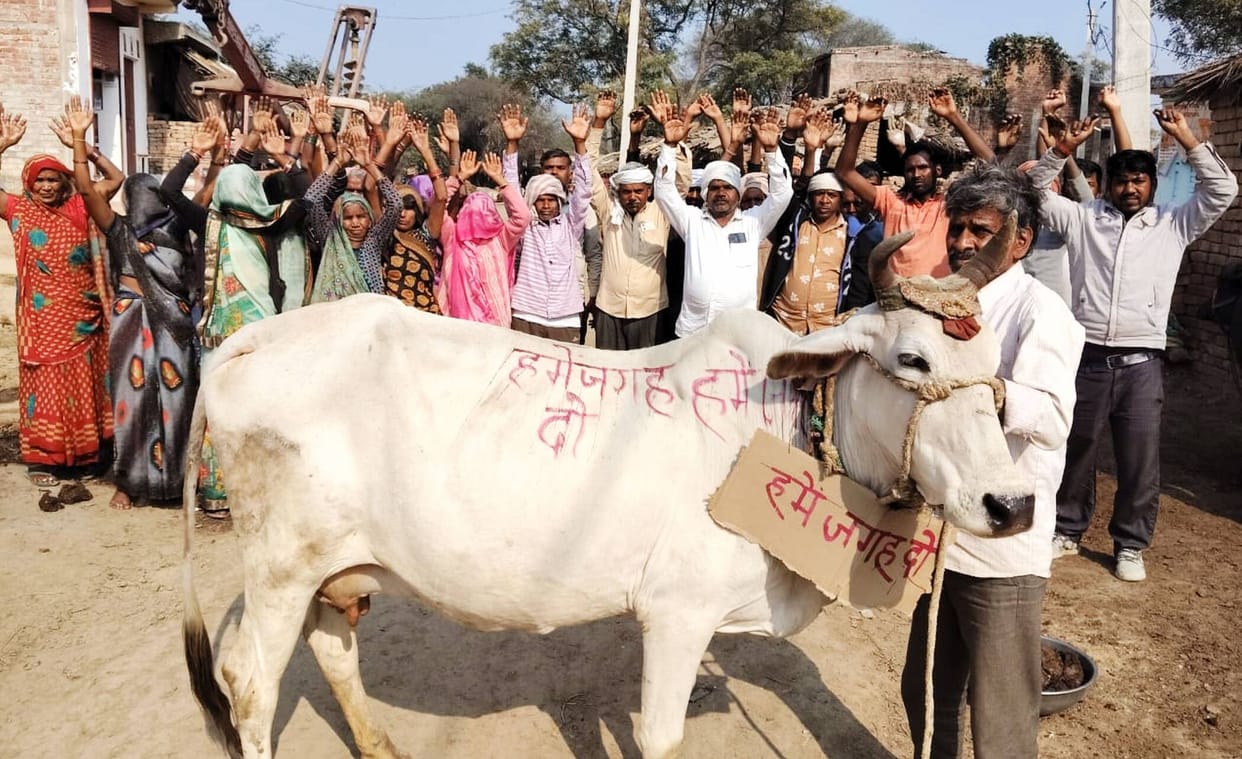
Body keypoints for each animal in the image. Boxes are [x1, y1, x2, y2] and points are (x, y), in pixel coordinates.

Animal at [182, 231, 1034, 759]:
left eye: (997, 359)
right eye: (913, 359)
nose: (1012, 504)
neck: (783, 419)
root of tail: (249, 340)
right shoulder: (677, 612)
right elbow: (660, 735)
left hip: (333, 571)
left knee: (332, 652)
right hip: (280, 569)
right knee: (249, 685)